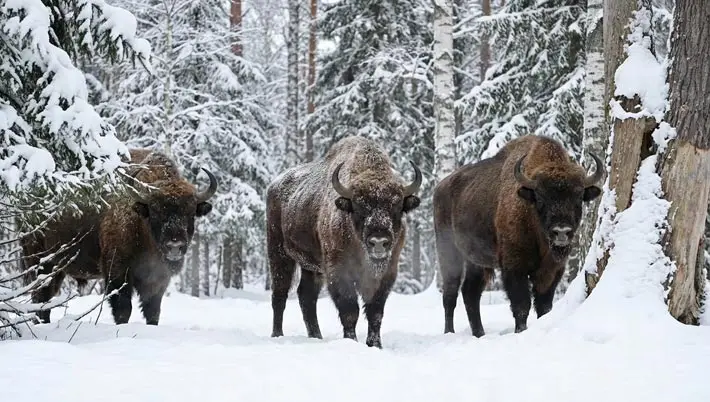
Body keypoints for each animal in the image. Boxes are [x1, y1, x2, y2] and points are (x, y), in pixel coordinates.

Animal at [20, 149, 217, 325]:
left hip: (58, 269)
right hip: (40, 264)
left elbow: (153, 311)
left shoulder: (158, 278)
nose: (174, 246)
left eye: (190, 213)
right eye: (155, 212)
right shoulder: (117, 273)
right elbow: (123, 310)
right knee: (40, 298)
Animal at [266, 136, 422, 348]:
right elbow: (350, 311)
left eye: (397, 206)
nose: (379, 242)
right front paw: (352, 342)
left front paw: (375, 345)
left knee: (306, 296)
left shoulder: (387, 274)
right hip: (279, 253)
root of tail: (273, 186)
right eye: (358, 207)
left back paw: (316, 336)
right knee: (280, 294)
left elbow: (375, 312)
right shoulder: (339, 272)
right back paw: (277, 334)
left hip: (311, 266)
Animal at [433, 135, 604, 336]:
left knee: (470, 294)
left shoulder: (552, 270)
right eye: (540, 197)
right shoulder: (515, 268)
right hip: (448, 253)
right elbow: (522, 305)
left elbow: (544, 306)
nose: (561, 231)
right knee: (450, 294)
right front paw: (520, 331)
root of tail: (440, 187)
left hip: (477, 261)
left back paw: (479, 334)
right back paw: (449, 332)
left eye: (578, 197)